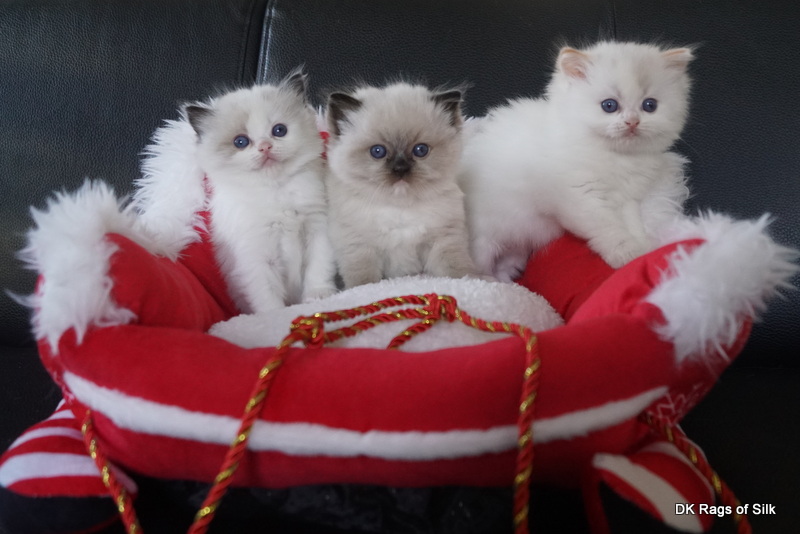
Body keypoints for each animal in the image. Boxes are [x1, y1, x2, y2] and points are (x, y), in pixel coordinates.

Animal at [186, 69, 337, 313]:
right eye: (240, 142)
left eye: (279, 130)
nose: (265, 147)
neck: (276, 191)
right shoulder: (255, 255)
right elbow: (267, 295)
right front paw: (273, 316)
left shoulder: (318, 229)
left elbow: (318, 269)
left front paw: (317, 297)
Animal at [325, 82, 480, 289]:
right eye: (377, 151)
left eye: (420, 150)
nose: (400, 169)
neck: (400, 210)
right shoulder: (359, 247)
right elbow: (364, 280)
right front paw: (360, 290)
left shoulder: (443, 240)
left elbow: (456, 270)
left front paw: (468, 281)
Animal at [459, 41, 694, 281]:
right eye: (609, 105)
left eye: (649, 105)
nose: (632, 122)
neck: (614, 156)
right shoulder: (580, 197)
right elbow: (608, 228)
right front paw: (626, 253)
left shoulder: (626, 198)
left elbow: (633, 223)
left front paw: (643, 248)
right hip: (484, 234)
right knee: (476, 265)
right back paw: (488, 280)